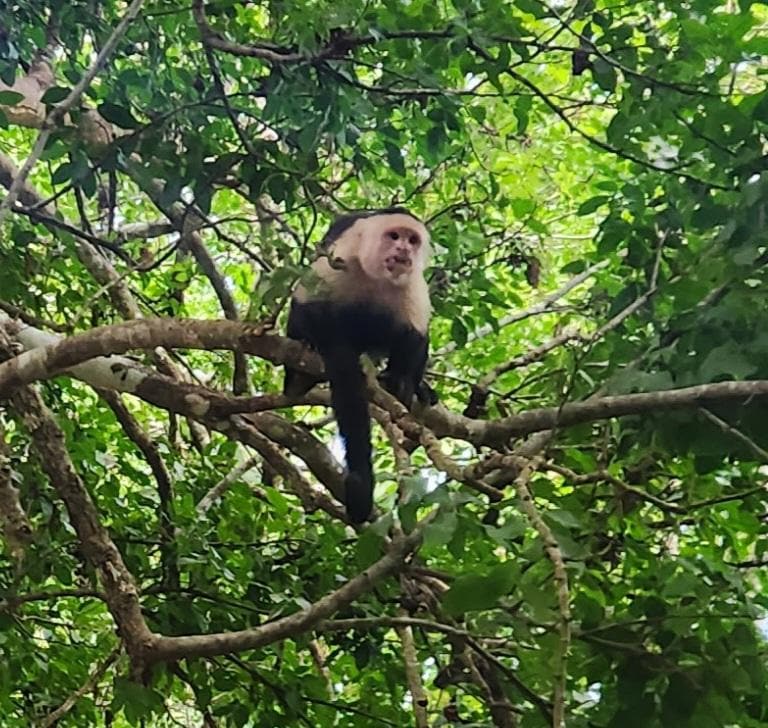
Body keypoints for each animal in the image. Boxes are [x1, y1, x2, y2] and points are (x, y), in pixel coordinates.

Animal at [283, 208, 432, 523]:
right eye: (394, 236)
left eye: (412, 240)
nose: (404, 249)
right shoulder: (341, 256)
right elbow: (311, 309)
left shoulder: (413, 285)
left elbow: (416, 336)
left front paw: (402, 379)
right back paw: (301, 373)